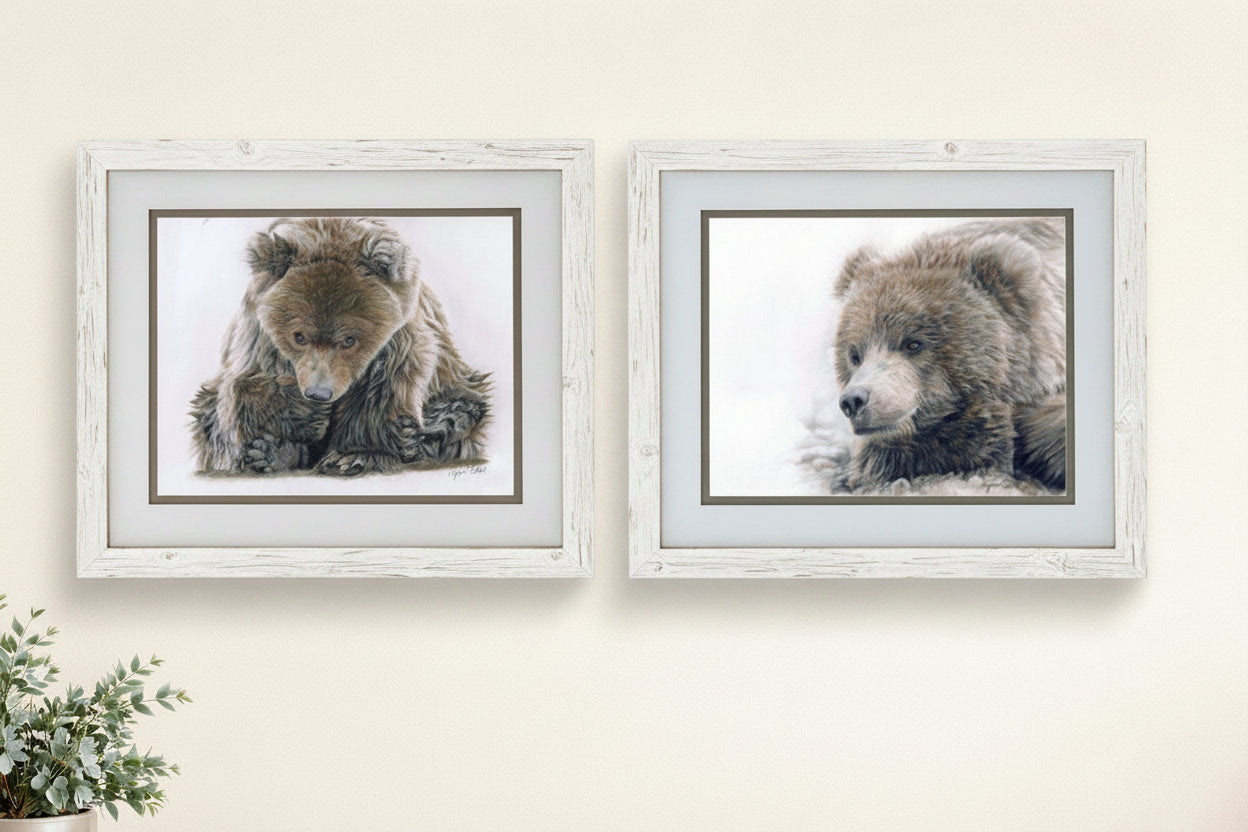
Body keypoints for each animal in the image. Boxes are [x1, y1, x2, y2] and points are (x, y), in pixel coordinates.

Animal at [190, 216, 491, 477]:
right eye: (299, 337)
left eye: (349, 340)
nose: (319, 393)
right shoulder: (260, 339)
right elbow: (238, 395)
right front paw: (296, 425)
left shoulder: (400, 340)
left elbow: (385, 391)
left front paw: (354, 455)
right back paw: (266, 455)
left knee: (459, 413)